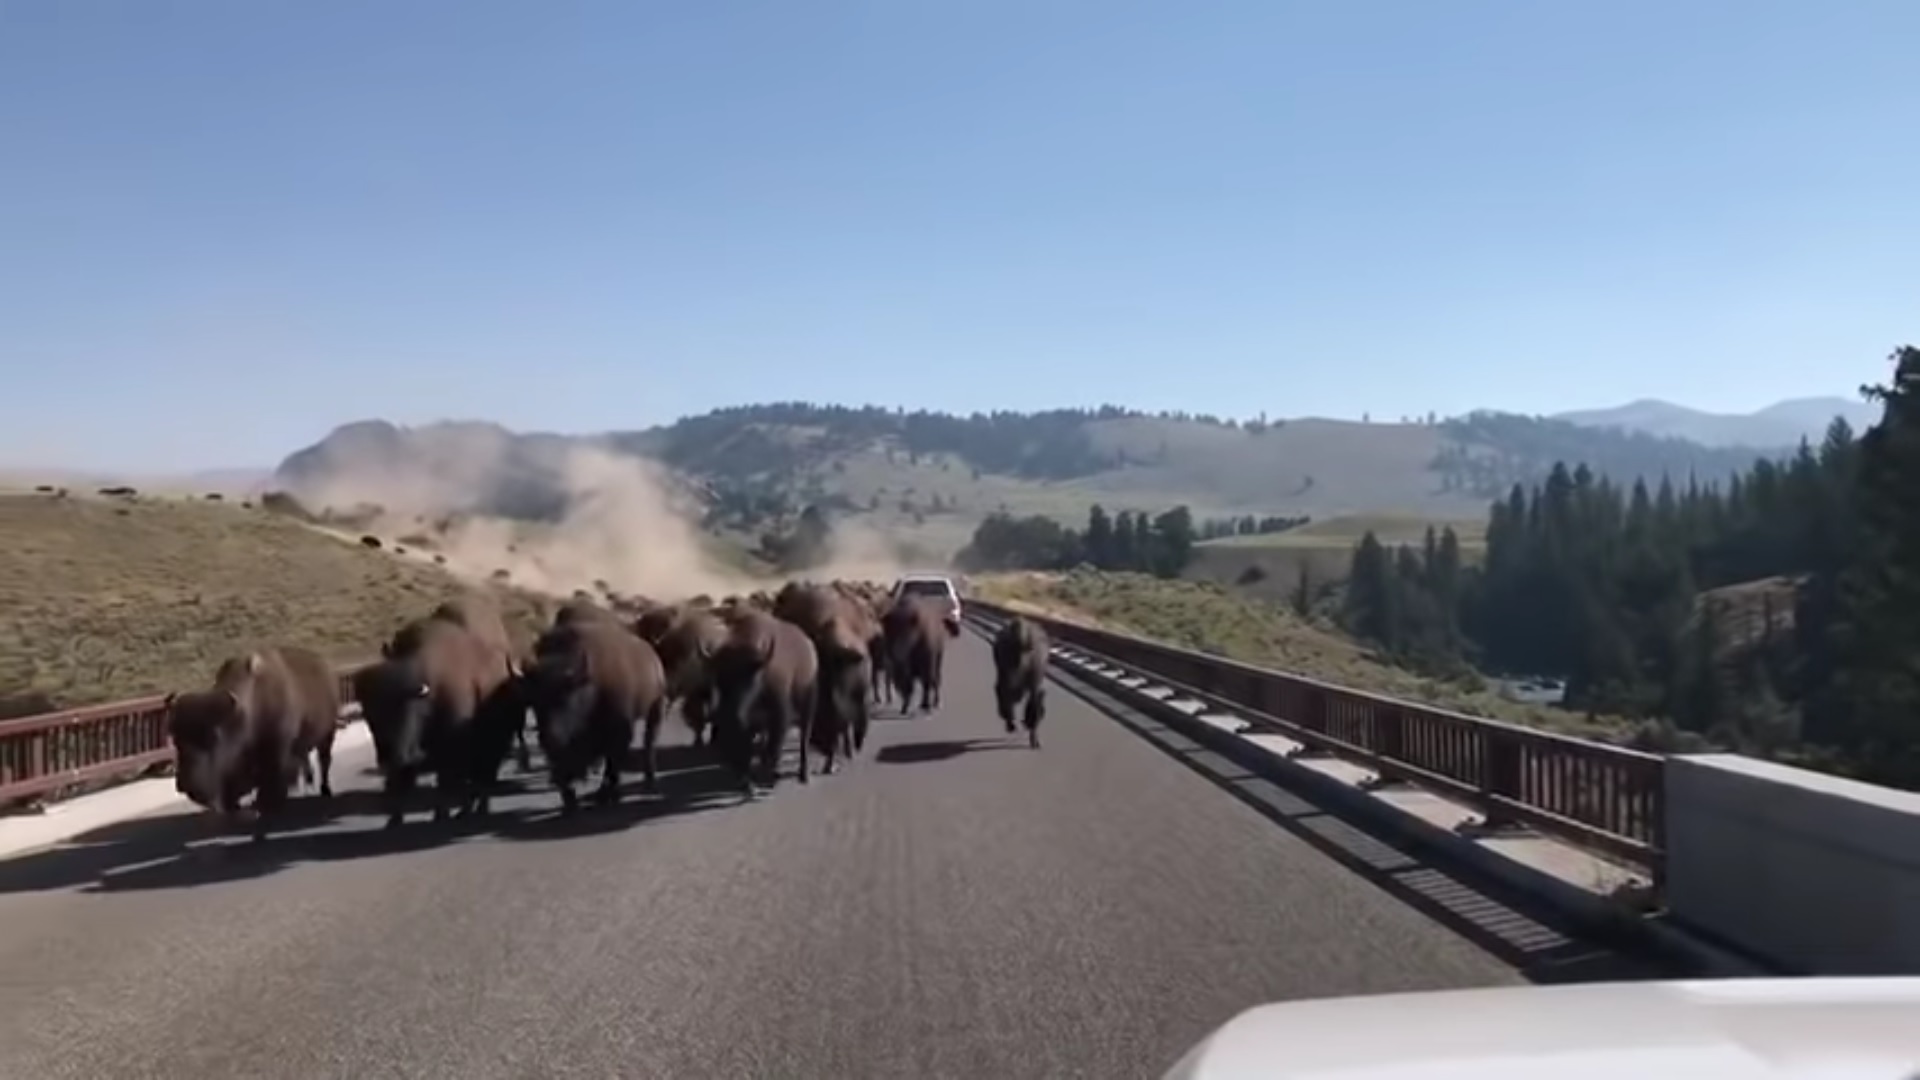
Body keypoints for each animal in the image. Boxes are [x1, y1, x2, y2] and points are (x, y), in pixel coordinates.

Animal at [165, 641, 341, 837]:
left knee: (324, 761)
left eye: (212, 737)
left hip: (327, 735)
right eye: (176, 739)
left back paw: (325, 790)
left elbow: (271, 784)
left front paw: (266, 808)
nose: (185, 784)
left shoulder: (274, 754)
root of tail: (326, 667)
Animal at [522, 618, 672, 810]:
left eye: (567, 698)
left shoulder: (619, 734)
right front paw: (570, 800)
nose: (549, 736)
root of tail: (652, 655)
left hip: (656, 708)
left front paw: (605, 795)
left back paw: (650, 780)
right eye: (534, 701)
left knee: (649, 744)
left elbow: (612, 764)